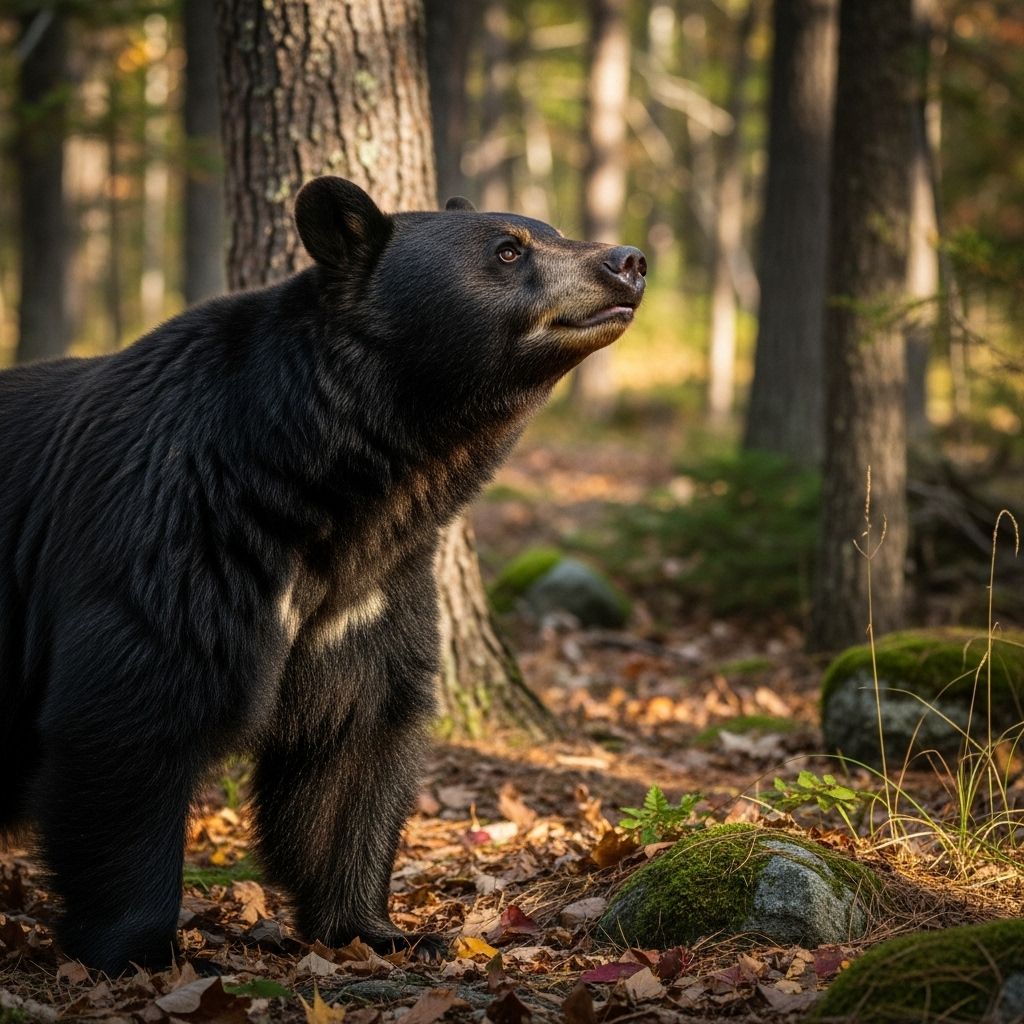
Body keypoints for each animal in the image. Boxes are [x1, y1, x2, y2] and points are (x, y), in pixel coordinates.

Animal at [0, 177, 646, 974]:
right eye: (507, 249)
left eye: (547, 229)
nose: (627, 261)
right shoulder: (171, 538)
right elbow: (132, 720)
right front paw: (148, 948)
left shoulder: (370, 592)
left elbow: (356, 738)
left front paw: (380, 926)